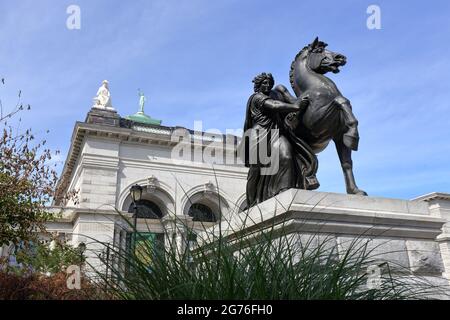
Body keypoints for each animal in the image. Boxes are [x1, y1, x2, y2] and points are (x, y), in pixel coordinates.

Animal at [276, 38, 368, 196]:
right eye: (319, 50)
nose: (341, 57)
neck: (318, 88)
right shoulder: (317, 121)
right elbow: (341, 101)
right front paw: (353, 136)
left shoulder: (338, 135)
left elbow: (346, 163)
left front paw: (355, 191)